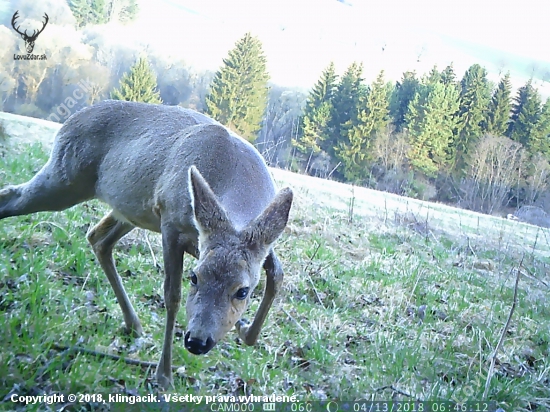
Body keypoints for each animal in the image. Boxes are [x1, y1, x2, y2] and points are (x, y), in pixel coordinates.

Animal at [0, 100, 296, 390]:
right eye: (195, 277)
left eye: (243, 291)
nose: (197, 342)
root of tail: (70, 120)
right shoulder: (170, 221)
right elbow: (172, 295)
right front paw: (164, 375)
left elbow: (278, 274)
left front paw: (244, 329)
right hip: (65, 179)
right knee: (12, 195)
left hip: (129, 209)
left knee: (97, 238)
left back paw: (133, 324)